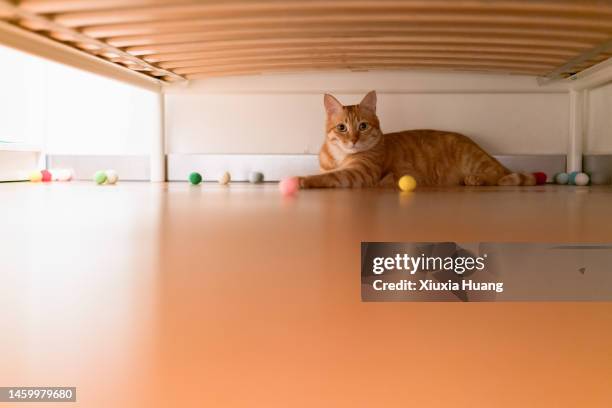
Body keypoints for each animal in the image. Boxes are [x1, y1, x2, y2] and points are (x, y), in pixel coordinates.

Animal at [300, 91, 536, 188]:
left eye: (363, 126)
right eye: (342, 128)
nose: (353, 140)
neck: (340, 156)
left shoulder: (359, 173)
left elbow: (330, 177)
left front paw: (302, 180)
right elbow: (326, 173)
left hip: (474, 160)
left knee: (496, 174)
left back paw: (477, 179)